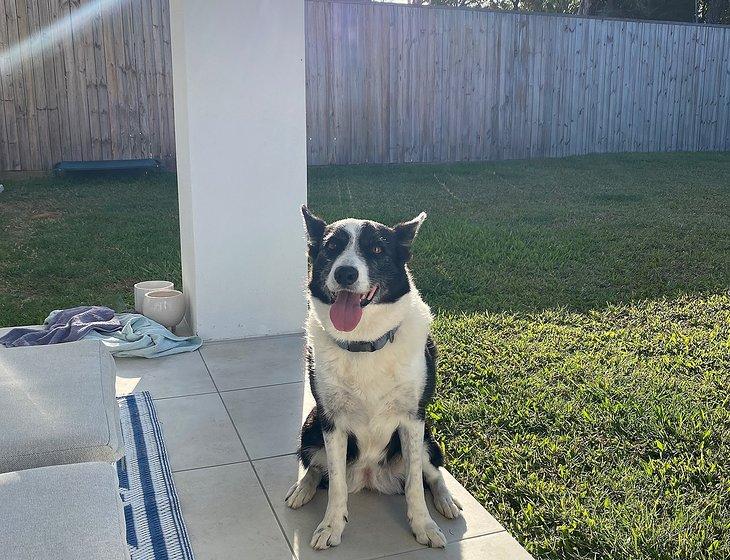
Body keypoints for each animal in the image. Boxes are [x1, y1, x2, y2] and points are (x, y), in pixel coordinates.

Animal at [284, 207, 460, 552]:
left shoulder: (413, 419)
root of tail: (369, 478)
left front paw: (423, 526)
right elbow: (336, 483)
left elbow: (415, 486)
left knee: (431, 473)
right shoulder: (331, 421)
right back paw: (302, 489)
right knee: (316, 468)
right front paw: (331, 525)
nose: (345, 274)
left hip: (428, 438)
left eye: (377, 250)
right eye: (331, 248)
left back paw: (446, 501)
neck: (364, 343)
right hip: (310, 425)